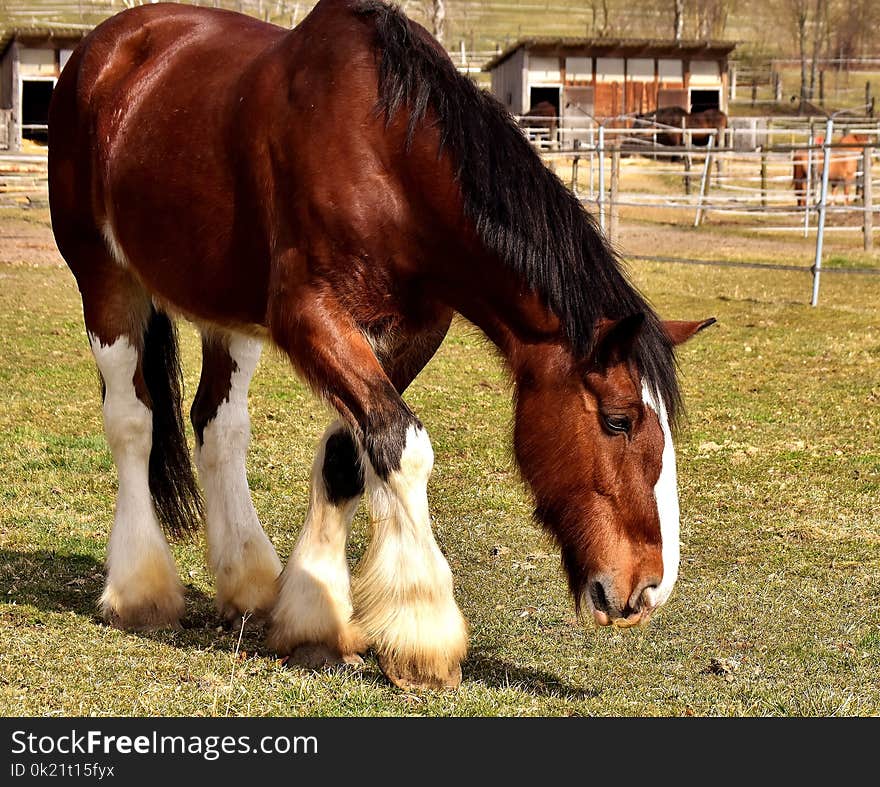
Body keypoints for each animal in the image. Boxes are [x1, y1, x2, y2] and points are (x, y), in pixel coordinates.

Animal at [46, 0, 716, 688]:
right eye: (618, 420)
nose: (648, 589)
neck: (389, 155)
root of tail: (112, 45)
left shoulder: (411, 331)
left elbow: (350, 455)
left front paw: (313, 620)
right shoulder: (310, 318)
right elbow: (402, 446)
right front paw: (424, 632)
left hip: (225, 310)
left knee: (217, 427)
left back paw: (249, 584)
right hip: (104, 281)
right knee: (133, 422)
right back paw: (140, 590)